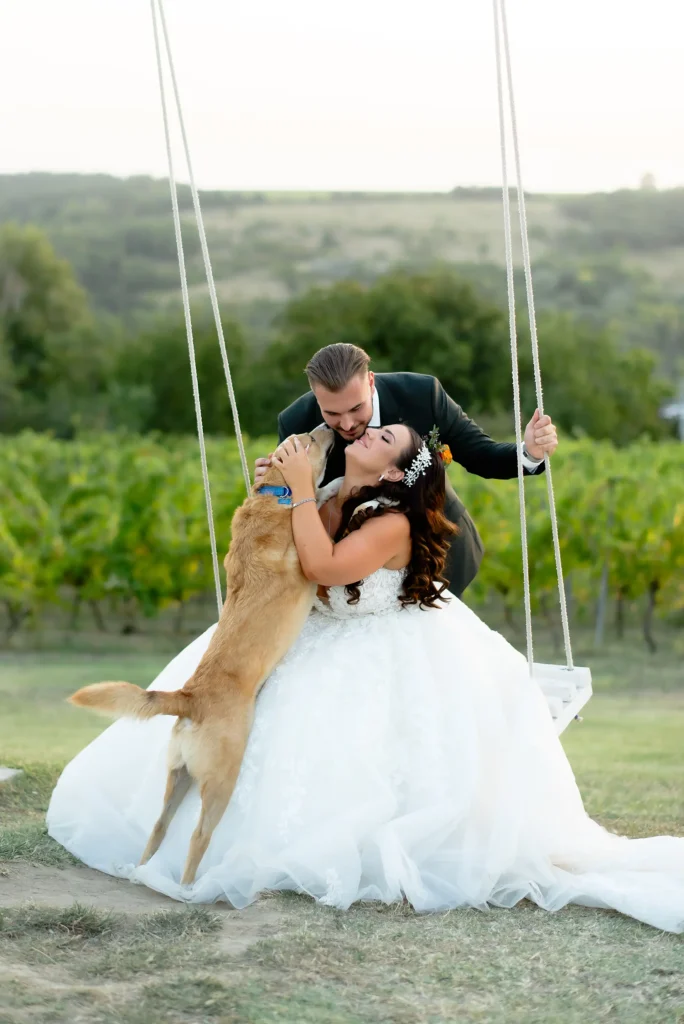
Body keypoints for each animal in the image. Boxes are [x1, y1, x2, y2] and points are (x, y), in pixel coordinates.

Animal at [69, 423, 333, 888]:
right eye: (310, 441)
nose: (328, 427)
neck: (274, 494)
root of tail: (188, 699)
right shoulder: (308, 555)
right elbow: (319, 501)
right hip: (221, 782)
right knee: (197, 836)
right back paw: (190, 887)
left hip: (178, 777)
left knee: (159, 827)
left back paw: (143, 873)